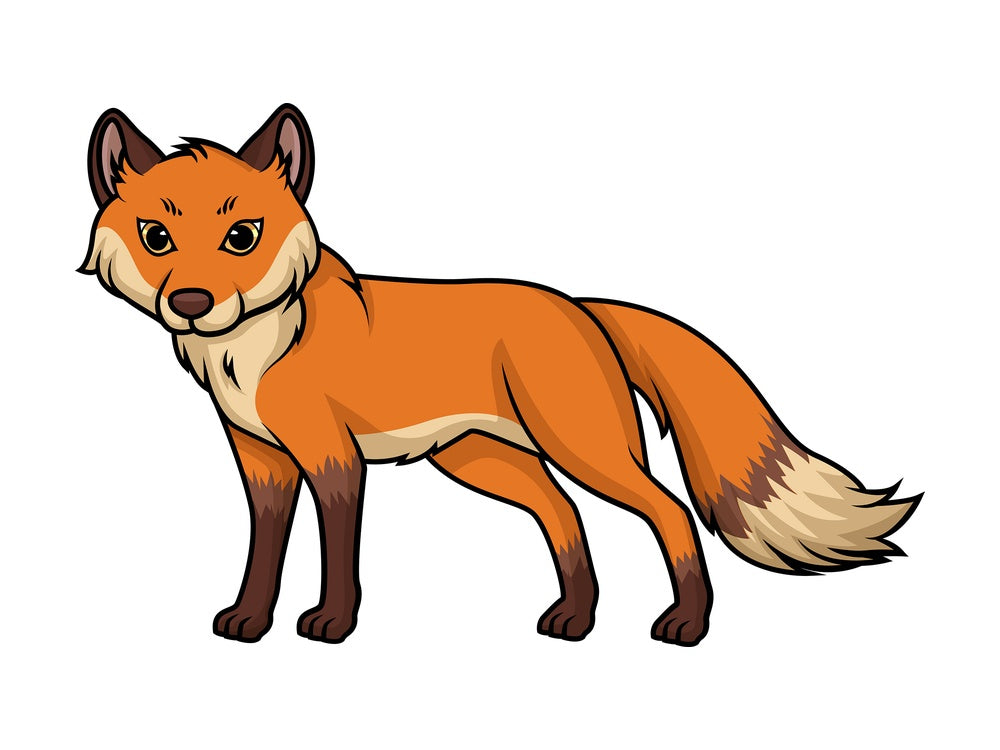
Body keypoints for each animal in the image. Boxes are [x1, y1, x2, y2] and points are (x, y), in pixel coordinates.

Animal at [82, 104, 920, 646]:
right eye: (156, 237)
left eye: (241, 236)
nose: (192, 302)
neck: (252, 353)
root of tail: (578, 304)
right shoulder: (263, 460)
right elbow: (264, 552)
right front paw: (250, 624)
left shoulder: (334, 459)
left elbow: (337, 554)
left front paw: (332, 625)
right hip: (484, 460)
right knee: (564, 516)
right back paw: (575, 621)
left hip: (583, 448)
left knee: (670, 512)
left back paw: (685, 624)